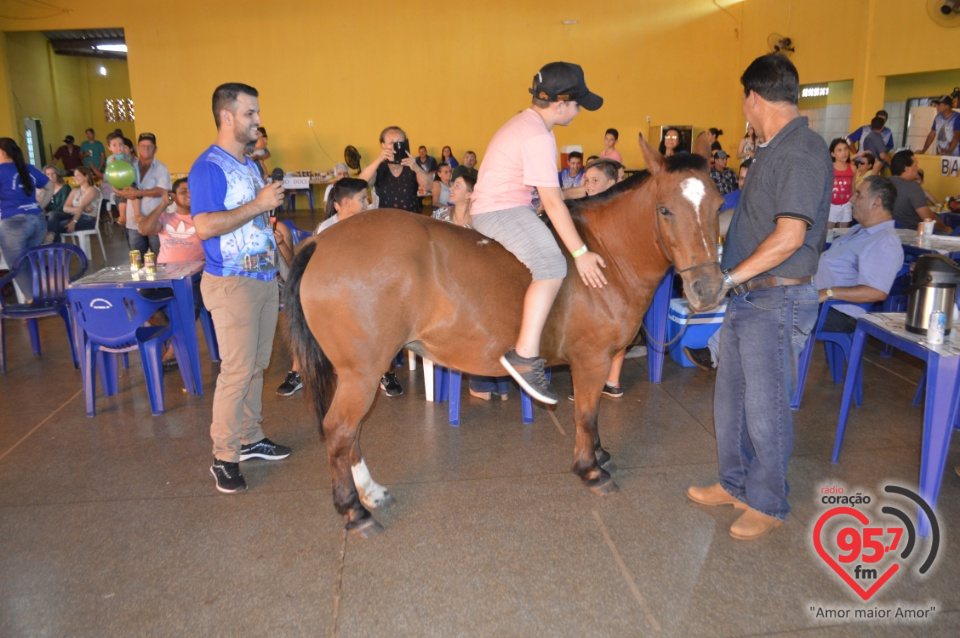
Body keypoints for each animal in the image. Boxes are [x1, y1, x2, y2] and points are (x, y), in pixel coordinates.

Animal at [284, 138, 720, 536]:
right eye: (664, 209)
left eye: (717, 206)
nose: (708, 289)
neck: (603, 256)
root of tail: (320, 241)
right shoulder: (592, 359)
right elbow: (586, 413)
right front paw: (590, 468)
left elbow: (592, 415)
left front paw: (599, 453)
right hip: (362, 372)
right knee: (340, 430)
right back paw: (353, 510)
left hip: (357, 373)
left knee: (350, 431)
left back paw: (369, 491)